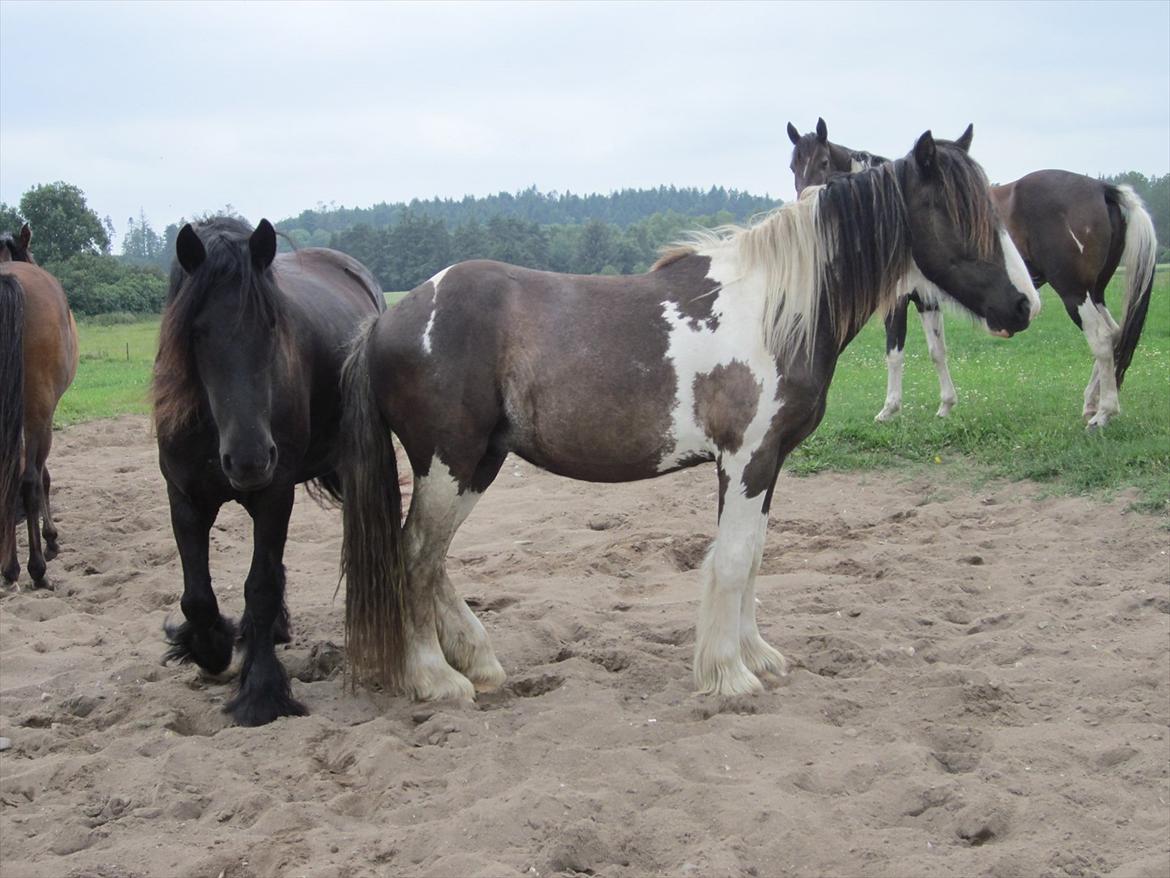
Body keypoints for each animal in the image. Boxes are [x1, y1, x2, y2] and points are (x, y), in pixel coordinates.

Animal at [152, 216, 383, 725]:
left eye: (273, 325)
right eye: (197, 331)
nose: (250, 458)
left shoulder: (275, 492)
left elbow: (259, 586)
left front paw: (260, 691)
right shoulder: (184, 496)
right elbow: (198, 595)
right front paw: (210, 647)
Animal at [341, 130, 1038, 707]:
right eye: (962, 215)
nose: (1025, 305)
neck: (775, 309)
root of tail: (390, 317)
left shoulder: (768, 462)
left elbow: (752, 556)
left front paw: (756, 655)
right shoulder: (747, 457)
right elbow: (731, 560)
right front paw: (729, 675)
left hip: (479, 462)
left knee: (432, 561)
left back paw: (480, 662)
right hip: (448, 463)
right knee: (416, 556)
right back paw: (437, 679)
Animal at [781, 117, 1155, 430]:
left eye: (823, 162)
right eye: (793, 165)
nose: (804, 201)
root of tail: (1103, 188)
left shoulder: (897, 300)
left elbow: (894, 353)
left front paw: (889, 409)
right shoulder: (926, 299)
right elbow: (937, 350)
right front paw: (946, 405)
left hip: (1074, 292)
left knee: (1101, 338)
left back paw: (1104, 412)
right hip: (1095, 291)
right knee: (1115, 332)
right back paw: (1092, 401)